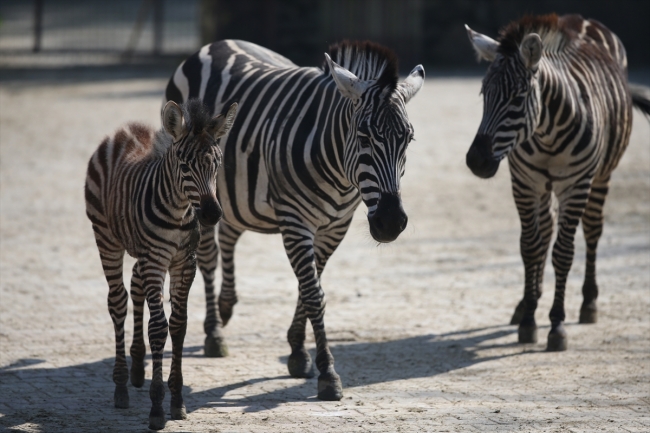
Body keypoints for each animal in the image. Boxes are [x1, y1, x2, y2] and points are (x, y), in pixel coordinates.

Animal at [85, 98, 238, 428]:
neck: (179, 212)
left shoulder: (184, 262)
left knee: (135, 285)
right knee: (118, 301)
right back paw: (121, 386)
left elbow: (178, 326)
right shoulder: (156, 260)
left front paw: (177, 401)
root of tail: (125, 130)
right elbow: (158, 328)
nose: (211, 215)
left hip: (143, 252)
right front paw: (156, 407)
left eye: (217, 165)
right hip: (106, 237)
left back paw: (137, 368)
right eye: (184, 165)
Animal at [165, 39, 422, 398]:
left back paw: (227, 305)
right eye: (364, 137)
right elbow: (314, 294)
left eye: (408, 139)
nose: (391, 222)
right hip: (197, 191)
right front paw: (327, 373)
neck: (340, 173)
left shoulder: (334, 227)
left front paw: (298, 350)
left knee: (230, 233)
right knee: (208, 255)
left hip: (234, 191)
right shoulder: (295, 223)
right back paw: (215, 332)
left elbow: (309, 286)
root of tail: (218, 44)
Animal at [460, 14, 648, 352]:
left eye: (518, 98)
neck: (546, 132)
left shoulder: (576, 185)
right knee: (546, 229)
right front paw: (529, 318)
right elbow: (530, 246)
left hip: (601, 175)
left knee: (592, 230)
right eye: (483, 94)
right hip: (544, 187)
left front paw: (557, 324)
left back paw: (589, 302)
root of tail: (581, 19)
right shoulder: (524, 183)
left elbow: (564, 253)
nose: (476, 161)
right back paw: (526, 301)